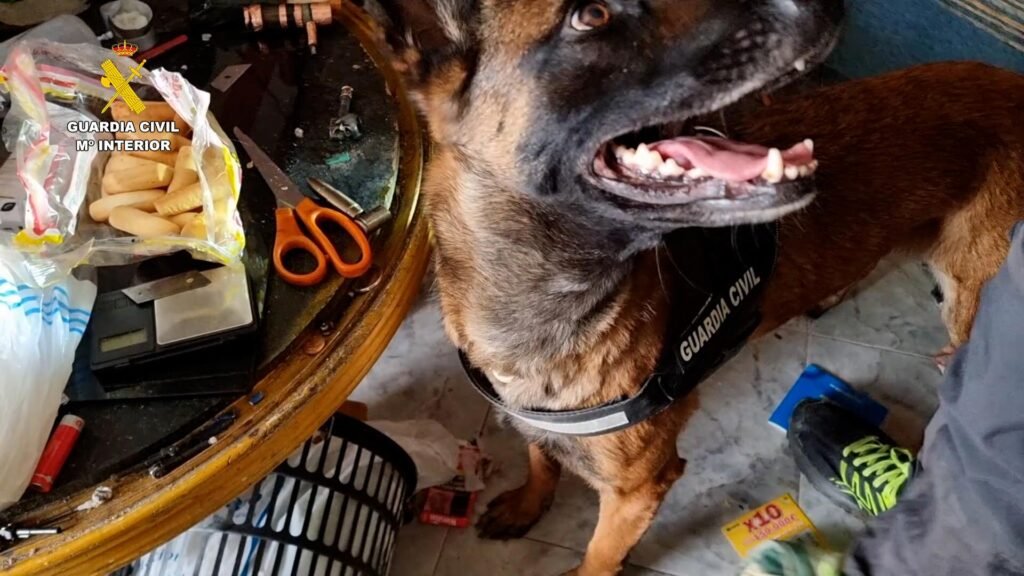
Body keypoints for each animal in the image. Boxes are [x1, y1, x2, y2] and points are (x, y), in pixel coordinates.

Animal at [365, 0, 1024, 573]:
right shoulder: (537, 425)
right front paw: (529, 504)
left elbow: (598, 556)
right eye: (591, 15)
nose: (826, 5)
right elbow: (540, 460)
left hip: (970, 290)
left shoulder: (637, 491)